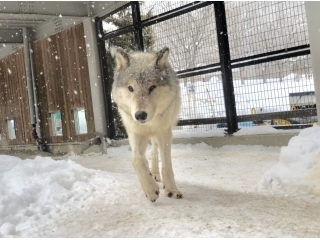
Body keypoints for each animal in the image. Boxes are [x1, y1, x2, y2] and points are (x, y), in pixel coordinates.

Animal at [112, 46, 182, 202]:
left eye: (152, 87)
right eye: (130, 88)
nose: (140, 115)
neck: (148, 124)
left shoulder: (164, 132)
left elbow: (166, 164)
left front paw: (172, 189)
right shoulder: (135, 133)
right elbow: (137, 160)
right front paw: (150, 189)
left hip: (159, 135)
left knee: (155, 151)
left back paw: (156, 173)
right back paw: (153, 175)